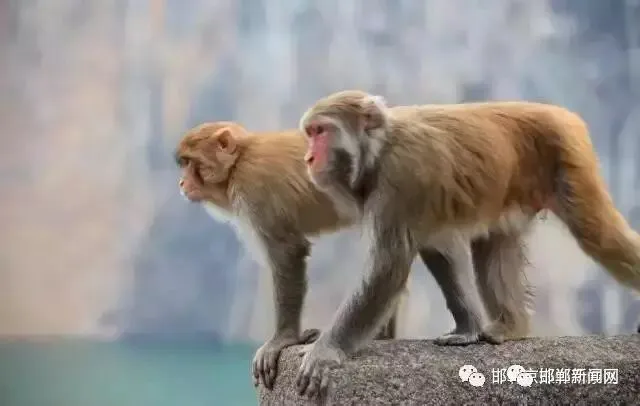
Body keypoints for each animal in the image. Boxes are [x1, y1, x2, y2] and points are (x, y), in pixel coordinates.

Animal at [174, 121, 533, 392]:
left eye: (191, 163)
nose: (181, 182)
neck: (240, 162)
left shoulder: (256, 192)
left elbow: (288, 252)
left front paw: (282, 339)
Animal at [294, 89, 640, 398]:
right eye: (309, 133)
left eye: (321, 131)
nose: (308, 158)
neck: (380, 149)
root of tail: (562, 113)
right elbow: (434, 248)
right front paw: (467, 328)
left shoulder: (402, 177)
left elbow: (387, 264)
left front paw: (326, 351)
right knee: (493, 246)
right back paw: (511, 326)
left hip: (569, 156)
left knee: (600, 236)